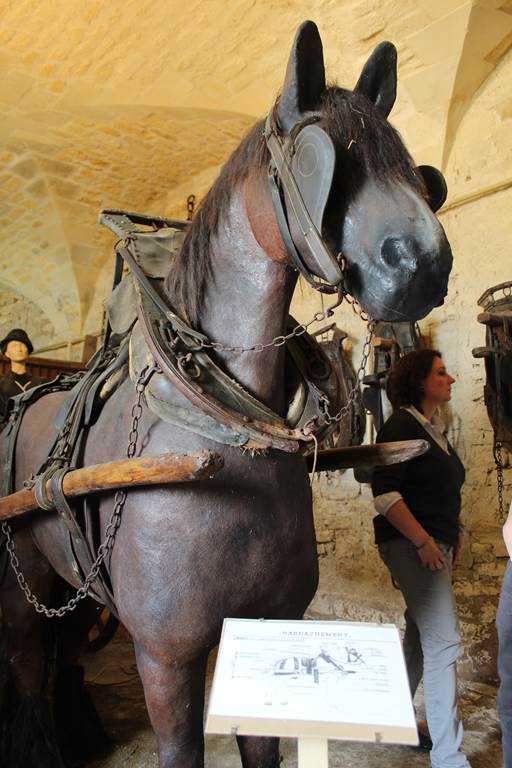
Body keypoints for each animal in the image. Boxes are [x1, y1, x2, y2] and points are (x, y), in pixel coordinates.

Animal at [0, 20, 453, 768]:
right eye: (323, 160)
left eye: (416, 170)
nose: (423, 264)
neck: (226, 427)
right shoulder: (165, 657)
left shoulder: (263, 629)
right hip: (24, 591)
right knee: (32, 677)